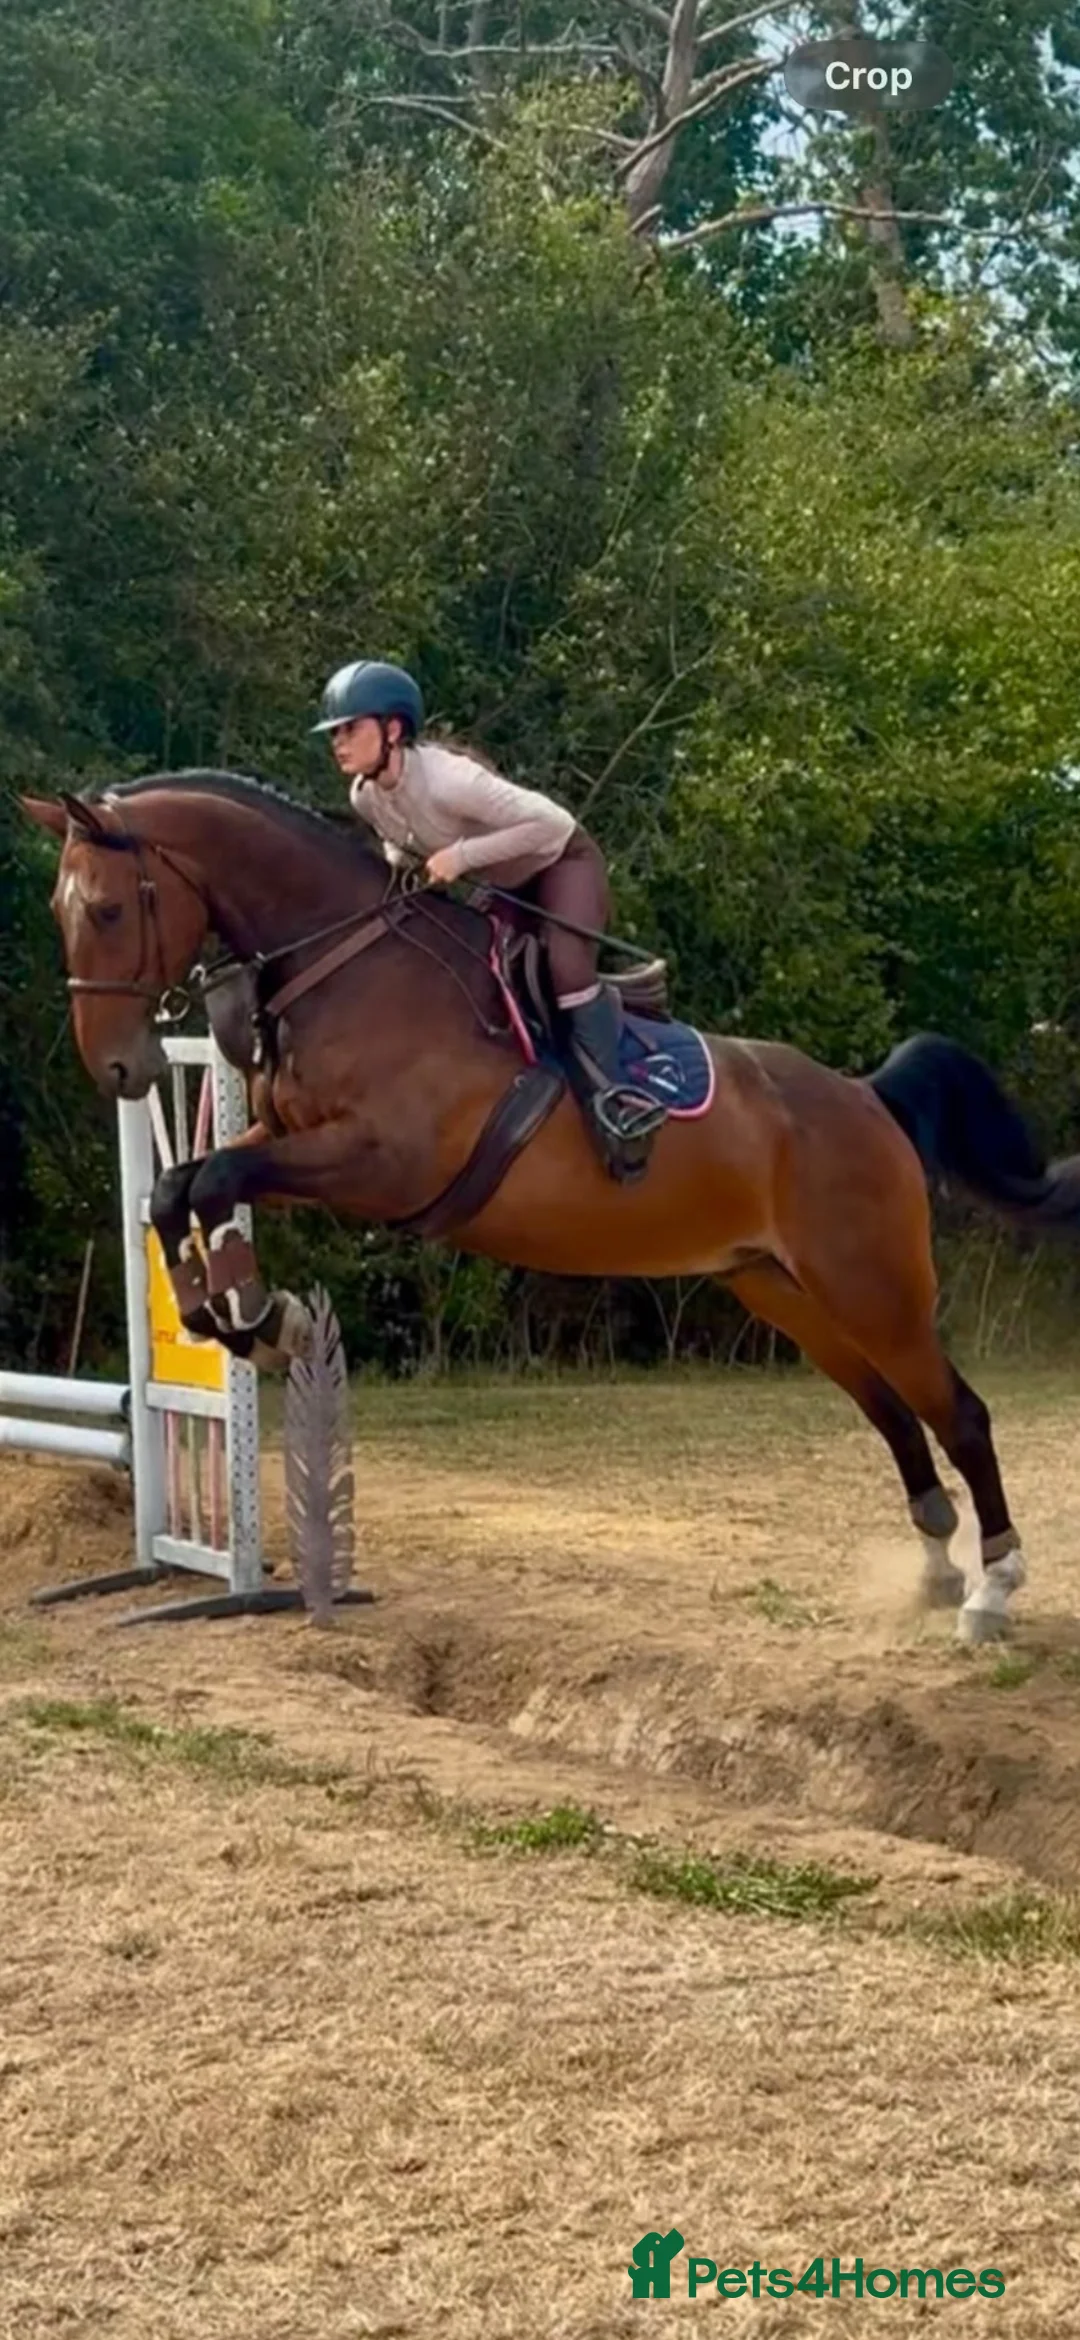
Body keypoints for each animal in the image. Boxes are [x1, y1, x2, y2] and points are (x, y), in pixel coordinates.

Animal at [21, 769, 1080, 1646]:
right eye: (61, 914)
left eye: (108, 908)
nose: (119, 1070)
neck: (348, 964)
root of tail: (868, 1097)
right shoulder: (287, 1144)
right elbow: (181, 1187)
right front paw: (236, 1315)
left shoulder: (377, 1162)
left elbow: (209, 1185)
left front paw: (256, 1315)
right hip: (785, 1292)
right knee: (895, 1413)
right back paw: (938, 1568)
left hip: (873, 1286)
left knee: (960, 1412)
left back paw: (992, 1590)